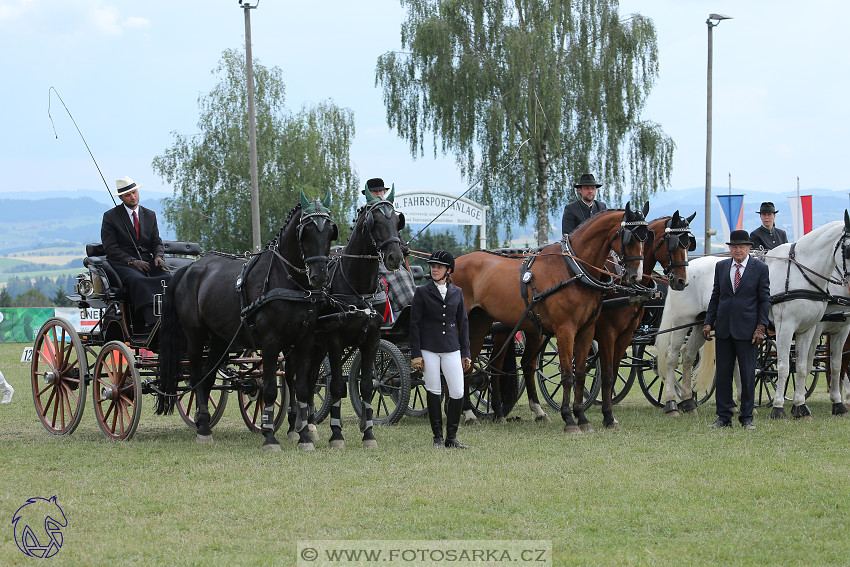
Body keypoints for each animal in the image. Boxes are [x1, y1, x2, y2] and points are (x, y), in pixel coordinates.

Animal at [157, 193, 336, 450]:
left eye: (331, 231)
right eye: (305, 232)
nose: (320, 276)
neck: (287, 280)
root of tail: (190, 267)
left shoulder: (304, 341)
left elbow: (302, 389)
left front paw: (303, 436)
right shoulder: (271, 342)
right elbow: (270, 389)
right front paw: (270, 436)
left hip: (219, 340)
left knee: (208, 378)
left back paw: (204, 422)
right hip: (195, 336)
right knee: (197, 377)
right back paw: (203, 429)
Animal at [302, 186, 404, 448]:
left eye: (396, 220)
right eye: (375, 221)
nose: (395, 257)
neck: (357, 287)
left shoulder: (372, 339)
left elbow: (367, 385)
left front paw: (368, 433)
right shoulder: (335, 341)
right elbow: (337, 386)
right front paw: (337, 435)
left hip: (317, 347)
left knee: (310, 379)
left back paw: (310, 426)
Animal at [454, 202, 644, 432]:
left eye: (646, 237)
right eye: (629, 238)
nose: (635, 276)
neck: (573, 270)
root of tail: (454, 261)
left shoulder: (587, 330)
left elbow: (581, 373)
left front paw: (582, 418)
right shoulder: (566, 330)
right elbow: (567, 374)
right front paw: (569, 420)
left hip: (481, 323)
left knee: (477, 363)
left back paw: (489, 413)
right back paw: (467, 412)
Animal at [656, 215, 848, 420]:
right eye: (848, 249)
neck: (800, 274)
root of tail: (686, 269)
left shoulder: (809, 329)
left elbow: (806, 367)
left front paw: (801, 407)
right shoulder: (786, 327)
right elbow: (784, 367)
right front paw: (778, 408)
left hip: (702, 324)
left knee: (689, 354)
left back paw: (689, 402)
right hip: (683, 321)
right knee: (672, 356)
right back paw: (671, 403)